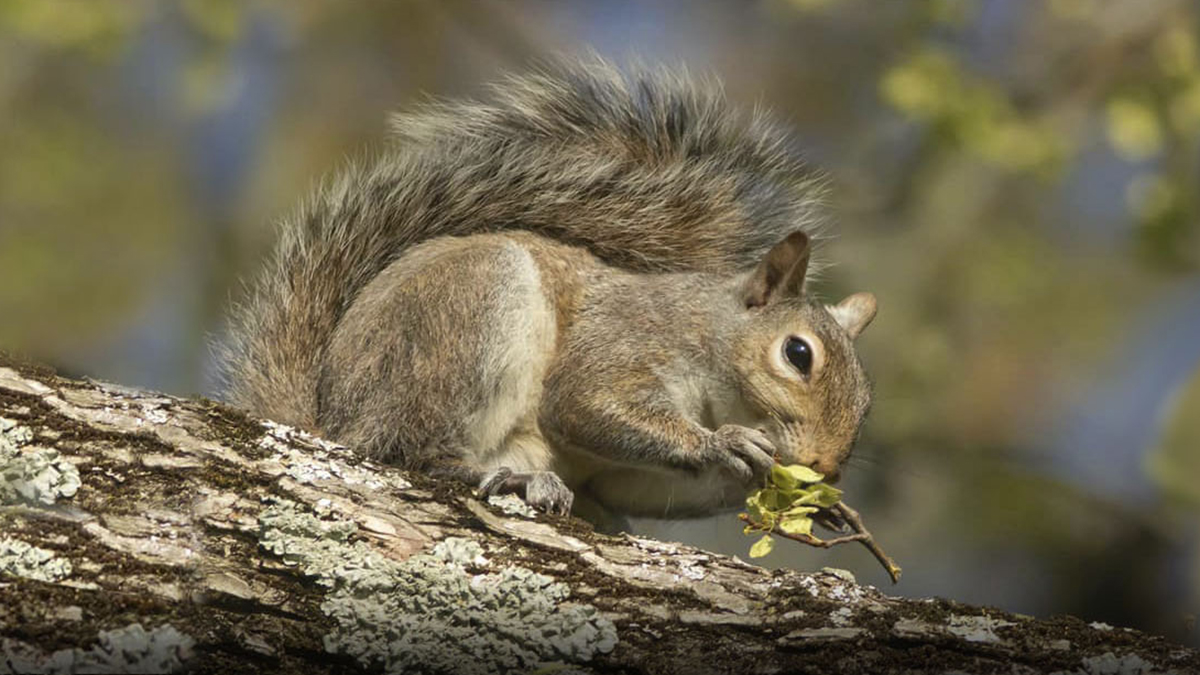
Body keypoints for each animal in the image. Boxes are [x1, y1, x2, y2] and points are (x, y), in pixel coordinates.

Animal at [220, 57, 878, 526]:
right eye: (798, 354)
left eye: (867, 401)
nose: (824, 467)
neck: (707, 333)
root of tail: (331, 419)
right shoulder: (627, 339)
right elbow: (583, 403)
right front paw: (722, 443)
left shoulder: (625, 480)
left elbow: (640, 485)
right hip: (465, 315)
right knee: (408, 450)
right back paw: (501, 476)